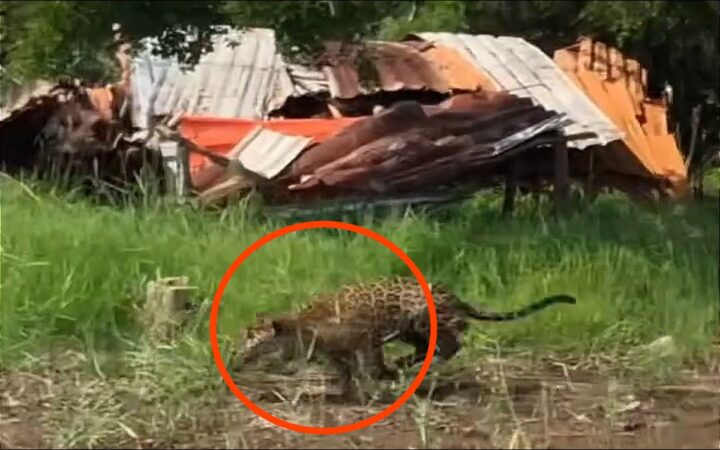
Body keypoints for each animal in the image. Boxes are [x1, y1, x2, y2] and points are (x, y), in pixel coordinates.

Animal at [237, 276, 576, 397]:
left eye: (253, 341)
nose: (236, 359)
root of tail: (454, 296)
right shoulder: (337, 353)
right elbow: (344, 370)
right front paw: (345, 390)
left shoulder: (365, 336)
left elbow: (369, 363)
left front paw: (377, 378)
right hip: (412, 330)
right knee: (430, 346)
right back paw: (404, 363)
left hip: (423, 319)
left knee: (452, 342)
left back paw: (404, 365)